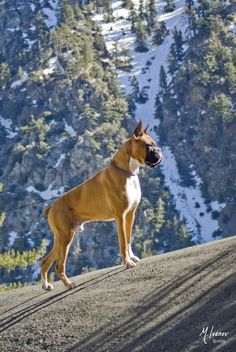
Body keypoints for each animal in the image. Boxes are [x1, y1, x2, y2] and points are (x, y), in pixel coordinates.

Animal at [40, 121, 162, 292]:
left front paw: (132, 257)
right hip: (65, 237)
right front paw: (127, 262)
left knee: (45, 261)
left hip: (61, 238)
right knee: (59, 265)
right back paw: (69, 284)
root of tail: (51, 207)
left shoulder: (130, 214)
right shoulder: (120, 216)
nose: (159, 151)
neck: (127, 172)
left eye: (155, 145)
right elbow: (122, 242)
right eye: (149, 146)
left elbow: (128, 239)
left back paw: (46, 285)